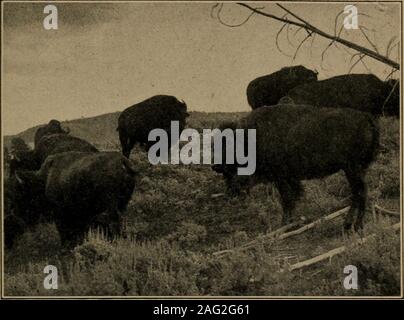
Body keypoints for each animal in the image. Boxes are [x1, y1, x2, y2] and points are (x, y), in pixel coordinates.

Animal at [7, 152, 137, 248]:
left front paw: (65, 247)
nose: (16, 213)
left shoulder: (60, 212)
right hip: (122, 203)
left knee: (113, 221)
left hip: (110, 206)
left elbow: (64, 230)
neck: (45, 178)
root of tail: (122, 161)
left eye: (21, 194)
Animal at [213, 105, 380, 232]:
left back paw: (356, 226)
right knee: (357, 193)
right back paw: (348, 224)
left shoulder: (281, 178)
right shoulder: (289, 178)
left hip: (352, 169)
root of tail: (366, 117)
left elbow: (287, 199)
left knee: (360, 192)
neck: (250, 137)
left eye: (228, 145)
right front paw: (290, 222)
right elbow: (292, 198)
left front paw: (284, 224)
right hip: (355, 170)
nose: (215, 166)